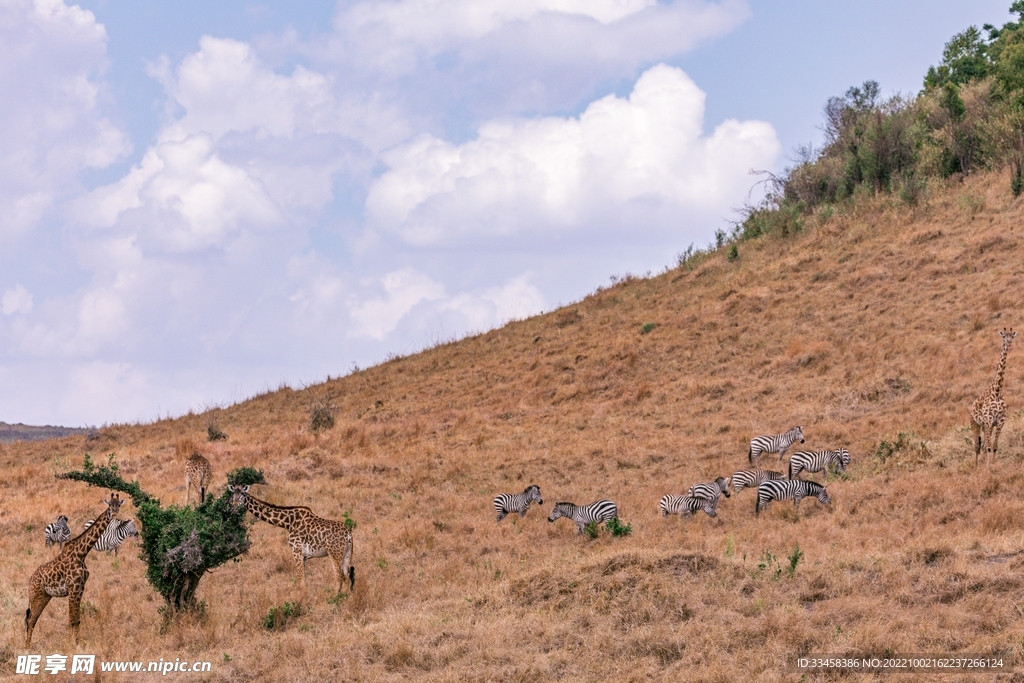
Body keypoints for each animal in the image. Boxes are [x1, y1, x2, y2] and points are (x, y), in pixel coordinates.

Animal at [24, 491, 123, 647]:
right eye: (109, 506)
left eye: (118, 505)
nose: (114, 513)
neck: (82, 553)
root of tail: (30, 580)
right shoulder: (73, 588)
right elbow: (71, 619)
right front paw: (72, 644)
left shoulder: (80, 587)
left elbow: (77, 619)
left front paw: (77, 642)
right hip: (36, 595)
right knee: (30, 620)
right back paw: (27, 647)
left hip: (45, 596)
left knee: (32, 619)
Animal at [226, 485, 354, 593]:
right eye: (233, 495)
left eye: (242, 494)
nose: (235, 505)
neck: (288, 522)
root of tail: (348, 534)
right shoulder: (304, 556)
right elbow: (303, 579)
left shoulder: (296, 550)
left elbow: (300, 581)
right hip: (347, 553)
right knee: (347, 577)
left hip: (334, 553)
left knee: (339, 577)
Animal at [966, 327, 1015, 466]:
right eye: (1004, 336)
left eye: (1012, 336)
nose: (1009, 343)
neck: (997, 392)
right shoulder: (988, 420)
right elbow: (988, 446)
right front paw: (988, 467)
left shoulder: (999, 422)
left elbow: (994, 446)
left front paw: (993, 464)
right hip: (975, 424)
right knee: (977, 446)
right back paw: (977, 466)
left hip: (986, 426)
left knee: (982, 446)